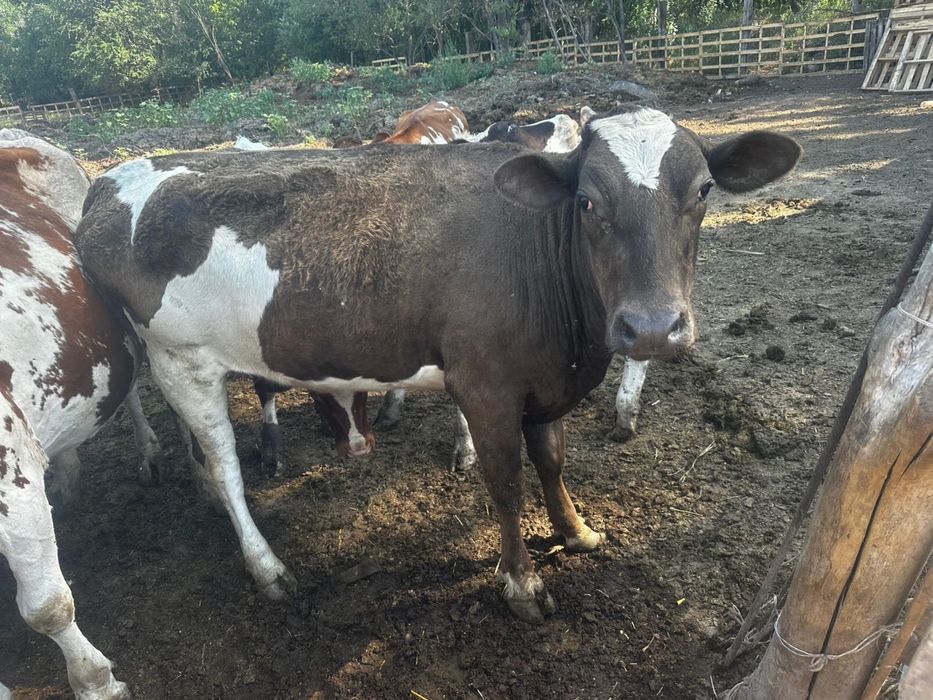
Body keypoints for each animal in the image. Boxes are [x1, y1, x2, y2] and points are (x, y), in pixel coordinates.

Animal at [78, 106, 800, 624]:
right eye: (587, 201)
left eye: (703, 190)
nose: (650, 327)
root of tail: (112, 179)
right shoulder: (485, 384)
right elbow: (506, 482)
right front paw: (521, 583)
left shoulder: (542, 377)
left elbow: (552, 460)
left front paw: (576, 531)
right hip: (181, 357)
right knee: (226, 464)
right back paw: (265, 565)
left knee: (202, 454)